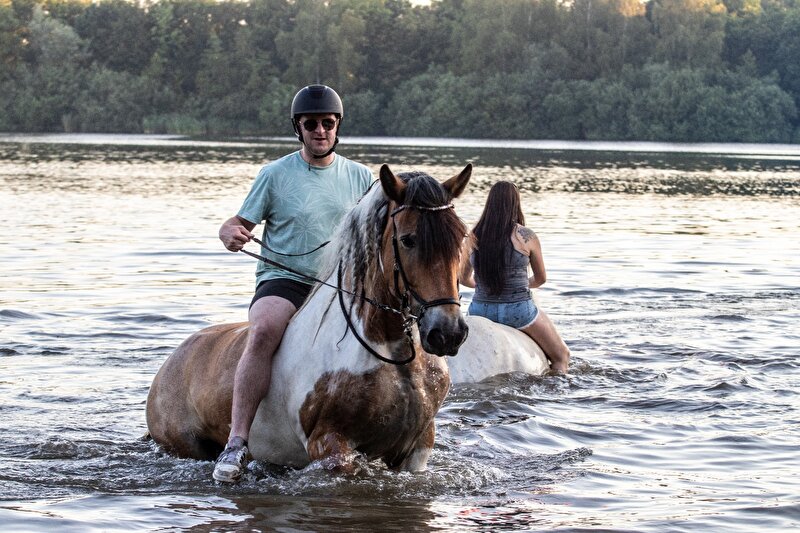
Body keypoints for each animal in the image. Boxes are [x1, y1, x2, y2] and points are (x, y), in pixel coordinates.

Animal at [146, 164, 472, 472]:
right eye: (407, 240)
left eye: (461, 237)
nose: (448, 332)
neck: (388, 350)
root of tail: (173, 359)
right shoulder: (330, 447)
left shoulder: (417, 448)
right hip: (186, 445)